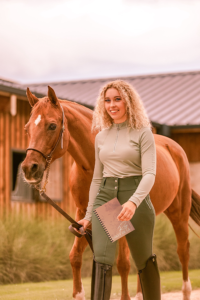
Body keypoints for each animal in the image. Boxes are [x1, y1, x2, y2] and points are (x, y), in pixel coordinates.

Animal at [21, 86, 200, 300]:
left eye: (52, 126)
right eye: (27, 128)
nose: (29, 169)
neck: (91, 165)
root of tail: (174, 148)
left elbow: (123, 263)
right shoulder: (83, 215)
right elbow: (75, 257)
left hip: (178, 214)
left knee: (183, 251)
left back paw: (186, 290)